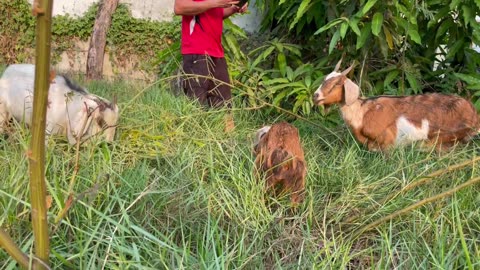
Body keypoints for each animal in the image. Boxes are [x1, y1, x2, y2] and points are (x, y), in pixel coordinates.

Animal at [314, 61, 478, 151]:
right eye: (324, 79)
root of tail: (474, 114)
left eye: (336, 83)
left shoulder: (388, 142)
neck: (362, 111)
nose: (315, 96)